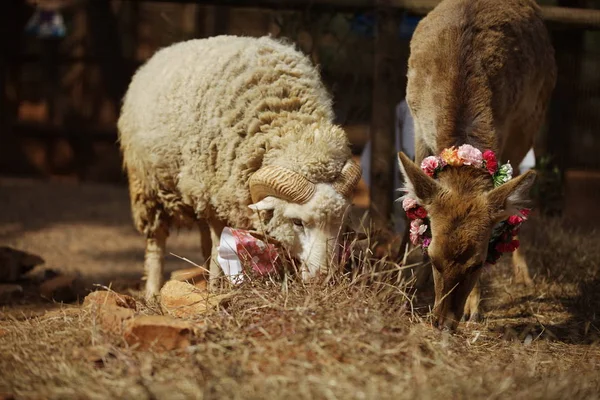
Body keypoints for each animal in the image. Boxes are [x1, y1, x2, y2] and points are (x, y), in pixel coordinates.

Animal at [117, 35, 360, 296]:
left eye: (341, 222)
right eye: (297, 222)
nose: (324, 278)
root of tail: (164, 51)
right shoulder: (214, 193)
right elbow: (217, 244)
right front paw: (217, 288)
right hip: (148, 186)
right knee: (156, 241)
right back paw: (152, 292)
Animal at [398, 0, 556, 330]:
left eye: (478, 263)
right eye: (434, 258)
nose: (443, 321)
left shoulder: (507, 129)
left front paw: (474, 308)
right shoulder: (417, 125)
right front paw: (406, 279)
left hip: (531, 123)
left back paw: (524, 275)